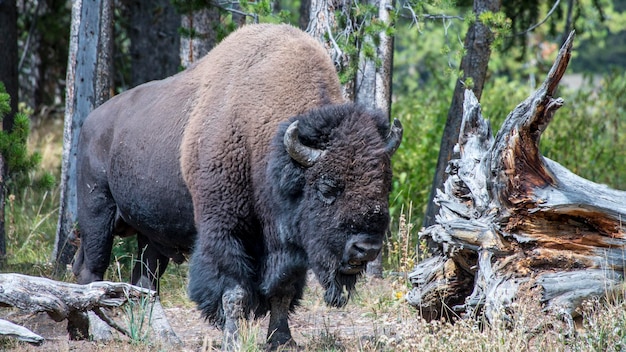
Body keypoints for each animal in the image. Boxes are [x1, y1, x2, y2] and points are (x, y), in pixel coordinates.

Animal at [73, 23, 402, 348]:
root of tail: (90, 123)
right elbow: (235, 292)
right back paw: (102, 333)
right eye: (327, 187)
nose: (366, 249)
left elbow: (283, 290)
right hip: (97, 215)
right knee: (93, 272)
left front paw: (282, 340)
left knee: (146, 282)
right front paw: (233, 340)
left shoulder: (288, 246)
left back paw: (167, 337)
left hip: (150, 233)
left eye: (385, 187)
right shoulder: (226, 231)